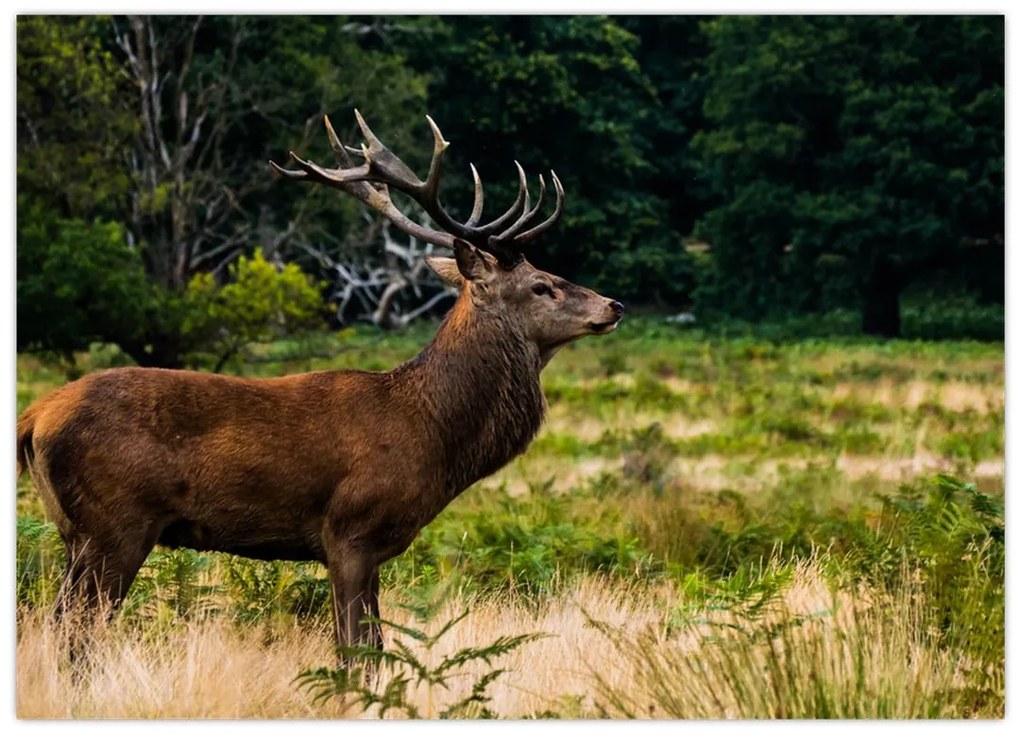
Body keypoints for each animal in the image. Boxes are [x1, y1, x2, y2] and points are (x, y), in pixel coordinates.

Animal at [13, 111, 620, 656]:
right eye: (542, 285)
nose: (613, 305)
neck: (431, 433)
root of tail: (35, 417)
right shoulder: (349, 531)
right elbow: (356, 651)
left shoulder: (371, 547)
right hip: (115, 523)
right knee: (75, 635)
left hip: (75, 532)